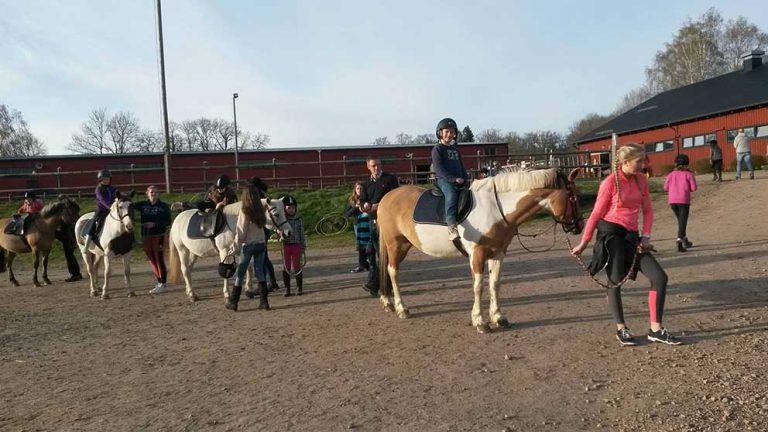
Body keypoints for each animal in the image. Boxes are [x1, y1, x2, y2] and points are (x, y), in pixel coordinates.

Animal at [374, 167, 584, 332]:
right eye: (573, 197)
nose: (580, 226)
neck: (496, 208)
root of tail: (386, 198)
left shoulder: (497, 254)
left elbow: (495, 284)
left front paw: (498, 317)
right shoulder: (477, 255)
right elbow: (478, 287)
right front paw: (480, 321)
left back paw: (387, 302)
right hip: (395, 245)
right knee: (392, 271)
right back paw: (401, 308)